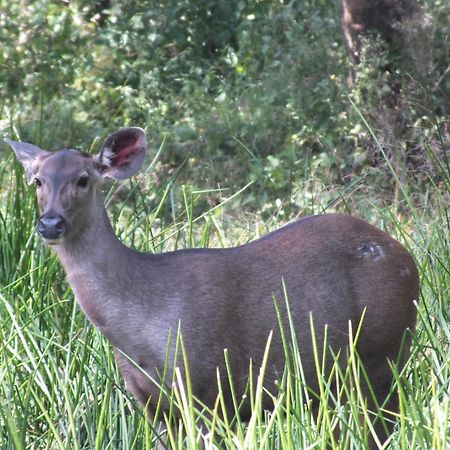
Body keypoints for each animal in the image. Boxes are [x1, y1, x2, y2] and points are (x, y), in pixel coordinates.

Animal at [7, 127, 420, 446]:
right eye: (37, 180)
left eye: (84, 179)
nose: (50, 224)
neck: (139, 329)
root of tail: (407, 257)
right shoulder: (153, 406)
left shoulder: (207, 389)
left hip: (384, 352)